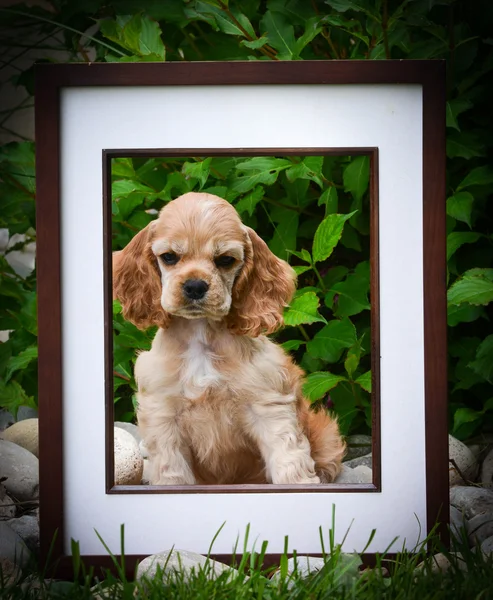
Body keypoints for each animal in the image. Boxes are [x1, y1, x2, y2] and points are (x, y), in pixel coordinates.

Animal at [113, 195, 344, 486]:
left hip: (325, 433)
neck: (201, 336)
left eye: (225, 260)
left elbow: (289, 459)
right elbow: (172, 471)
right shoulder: (163, 414)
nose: (195, 286)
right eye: (169, 257)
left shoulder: (269, 406)